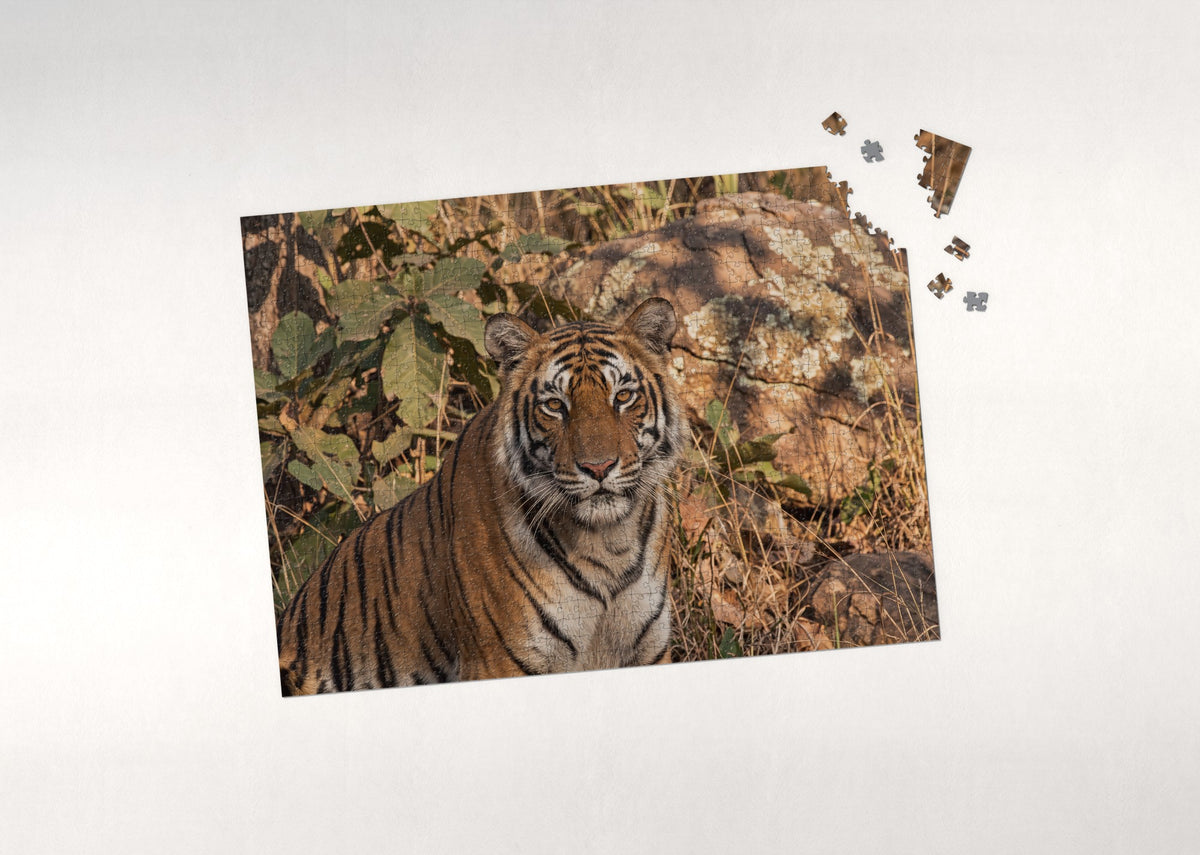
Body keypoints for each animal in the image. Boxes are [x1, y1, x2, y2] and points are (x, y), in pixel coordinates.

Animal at [276, 297, 686, 695]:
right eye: (555, 405)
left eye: (624, 396)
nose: (598, 468)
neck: (607, 543)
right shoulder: (499, 661)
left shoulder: (650, 650)